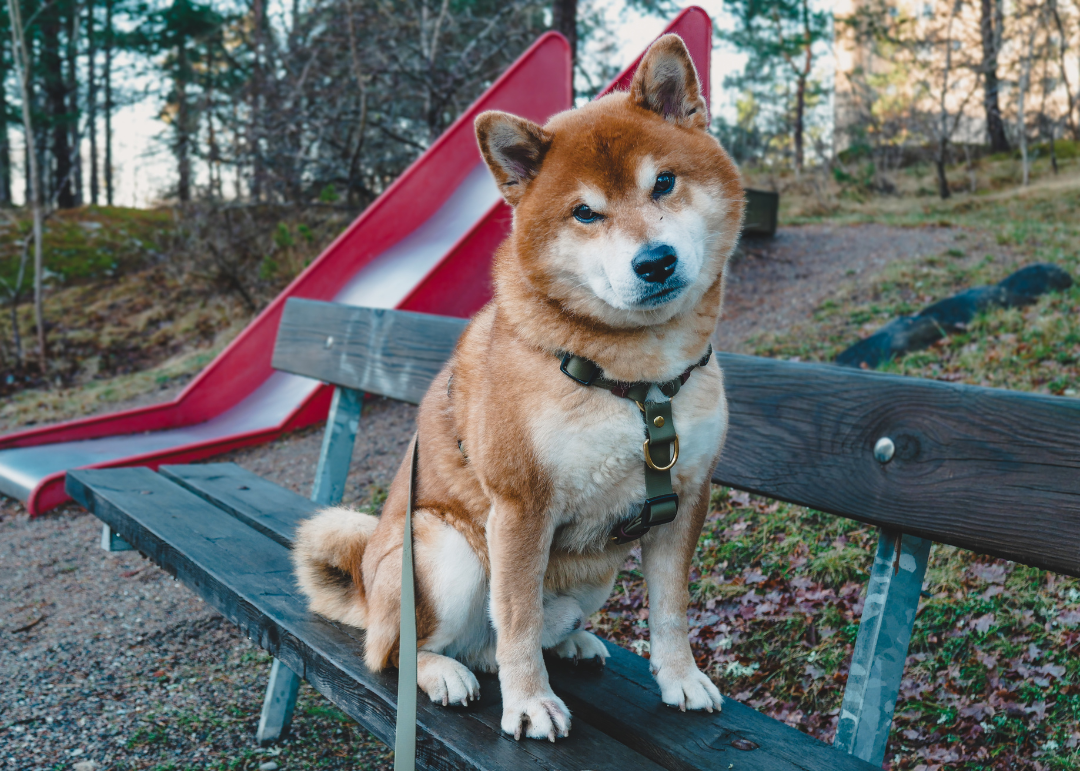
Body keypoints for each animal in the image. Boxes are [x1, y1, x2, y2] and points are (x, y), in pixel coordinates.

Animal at [295, 33, 751, 734]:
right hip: (441, 550)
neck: (636, 383)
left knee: (504, 640)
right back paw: (445, 672)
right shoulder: (520, 507)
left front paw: (680, 679)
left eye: (664, 183)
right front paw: (530, 703)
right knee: (403, 651)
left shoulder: (685, 498)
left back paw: (570, 642)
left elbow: (670, 611)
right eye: (585, 213)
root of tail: (369, 590)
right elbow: (515, 618)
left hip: (592, 576)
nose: (654, 262)